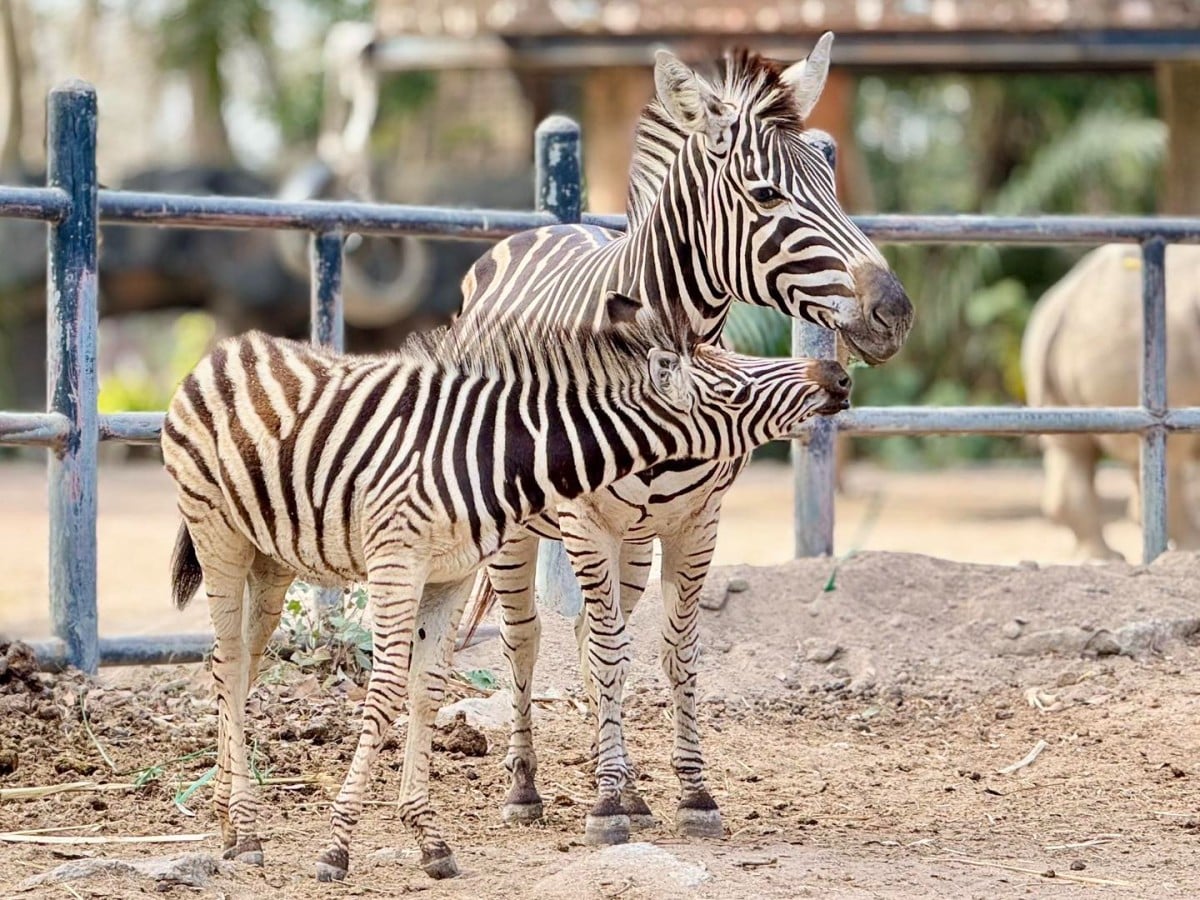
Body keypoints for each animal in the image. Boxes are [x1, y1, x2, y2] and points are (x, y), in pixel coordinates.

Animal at [162, 294, 854, 883]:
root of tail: (226, 348)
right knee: (225, 660)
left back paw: (230, 823)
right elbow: (382, 696)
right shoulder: (397, 563)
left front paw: (428, 838)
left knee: (238, 667)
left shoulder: (451, 573)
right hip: (218, 537)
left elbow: (426, 691)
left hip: (270, 557)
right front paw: (337, 847)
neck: (485, 455)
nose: (840, 377)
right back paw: (244, 829)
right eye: (733, 387)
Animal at [453, 33, 912, 844]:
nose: (895, 312)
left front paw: (687, 793)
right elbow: (603, 652)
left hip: (635, 539)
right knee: (527, 637)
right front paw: (605, 805)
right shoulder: (582, 521)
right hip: (517, 528)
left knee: (594, 636)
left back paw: (626, 785)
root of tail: (544, 224)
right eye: (766, 196)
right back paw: (526, 788)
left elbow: (676, 650)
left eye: (832, 182)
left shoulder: (699, 522)